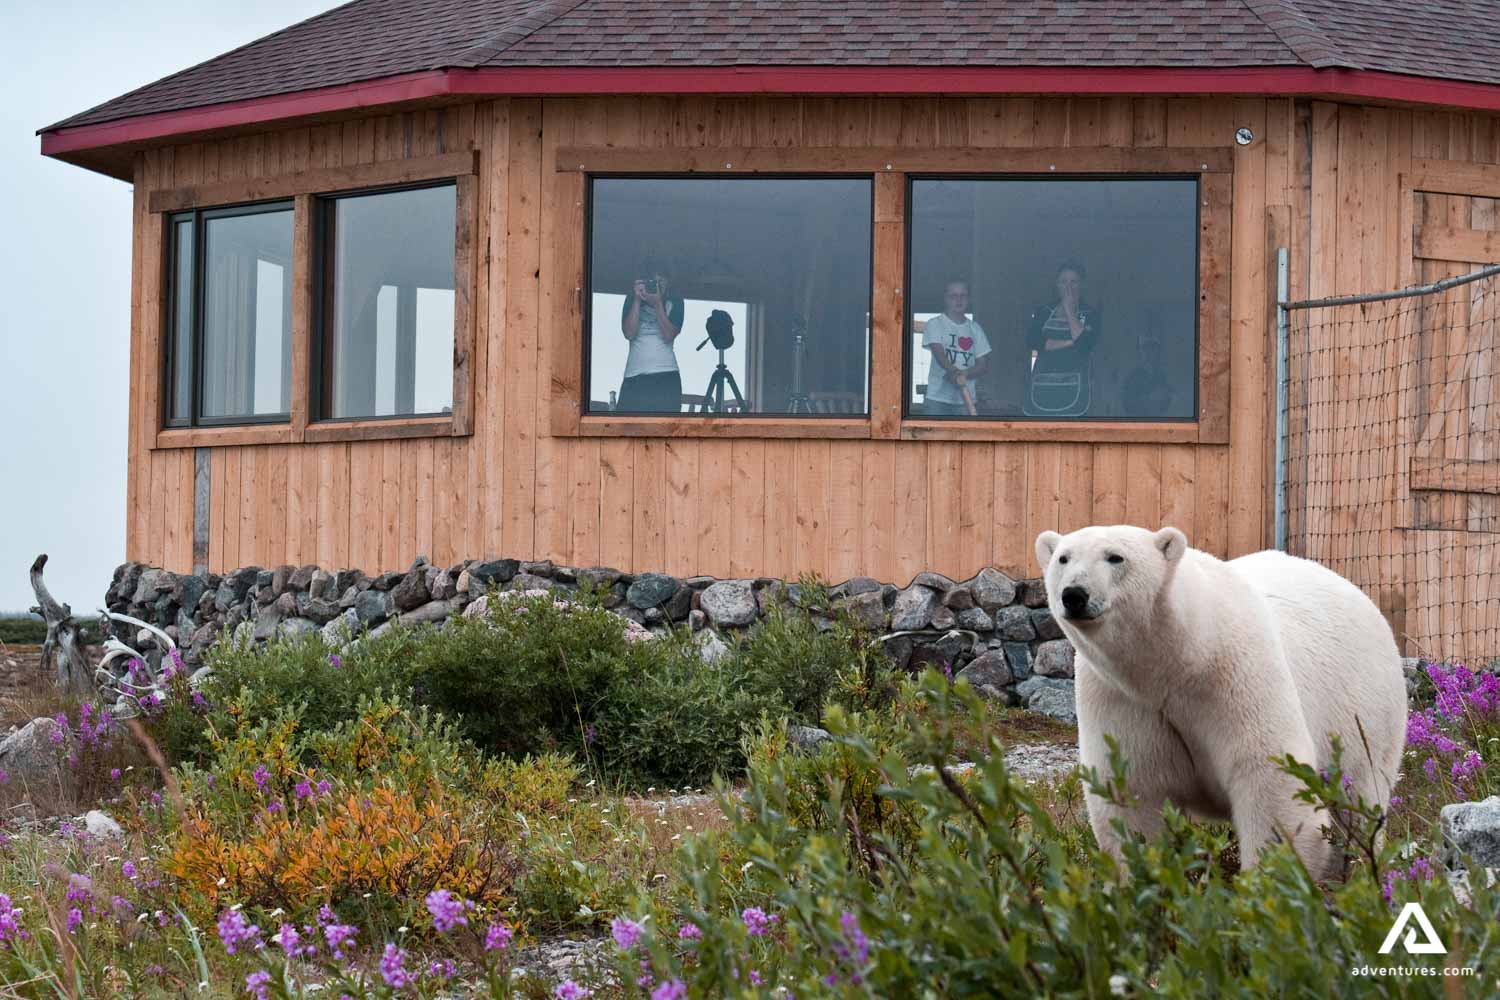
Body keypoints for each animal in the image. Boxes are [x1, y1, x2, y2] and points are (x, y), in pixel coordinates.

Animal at [1033, 524, 1406, 879]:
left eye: (1115, 557)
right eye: (1063, 558)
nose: (1074, 595)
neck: (1180, 655)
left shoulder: (1236, 675)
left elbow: (1268, 777)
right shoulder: (1120, 697)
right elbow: (1133, 791)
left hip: (1365, 706)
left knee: (1359, 796)